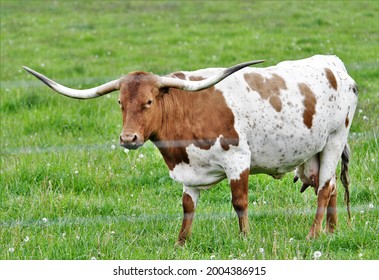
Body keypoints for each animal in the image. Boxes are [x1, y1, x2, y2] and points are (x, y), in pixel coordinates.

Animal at [23, 54, 360, 245]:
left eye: (148, 102)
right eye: (120, 102)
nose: (128, 138)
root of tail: (334, 64)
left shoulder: (238, 159)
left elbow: (239, 202)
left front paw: (245, 239)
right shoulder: (188, 170)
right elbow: (188, 207)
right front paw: (181, 243)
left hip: (335, 138)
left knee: (324, 189)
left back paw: (314, 234)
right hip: (316, 152)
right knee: (329, 187)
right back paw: (332, 232)